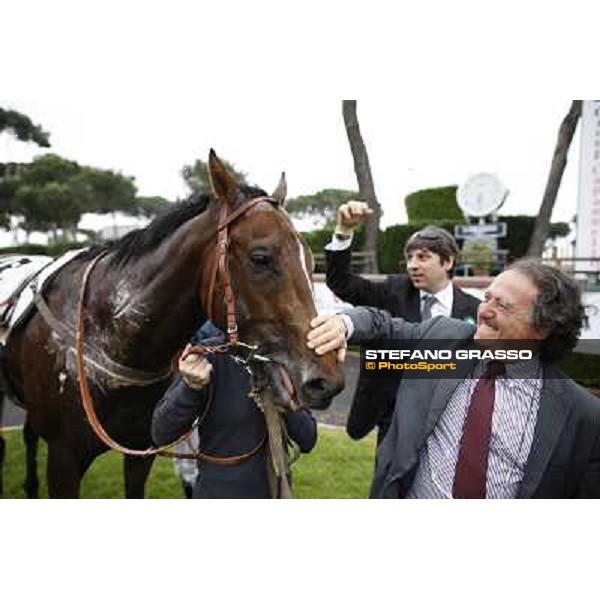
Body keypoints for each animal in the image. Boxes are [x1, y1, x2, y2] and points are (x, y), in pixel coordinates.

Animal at [0, 150, 344, 496]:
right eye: (261, 258)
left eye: (311, 261)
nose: (326, 381)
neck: (104, 334)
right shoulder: (64, 459)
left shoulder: (141, 450)